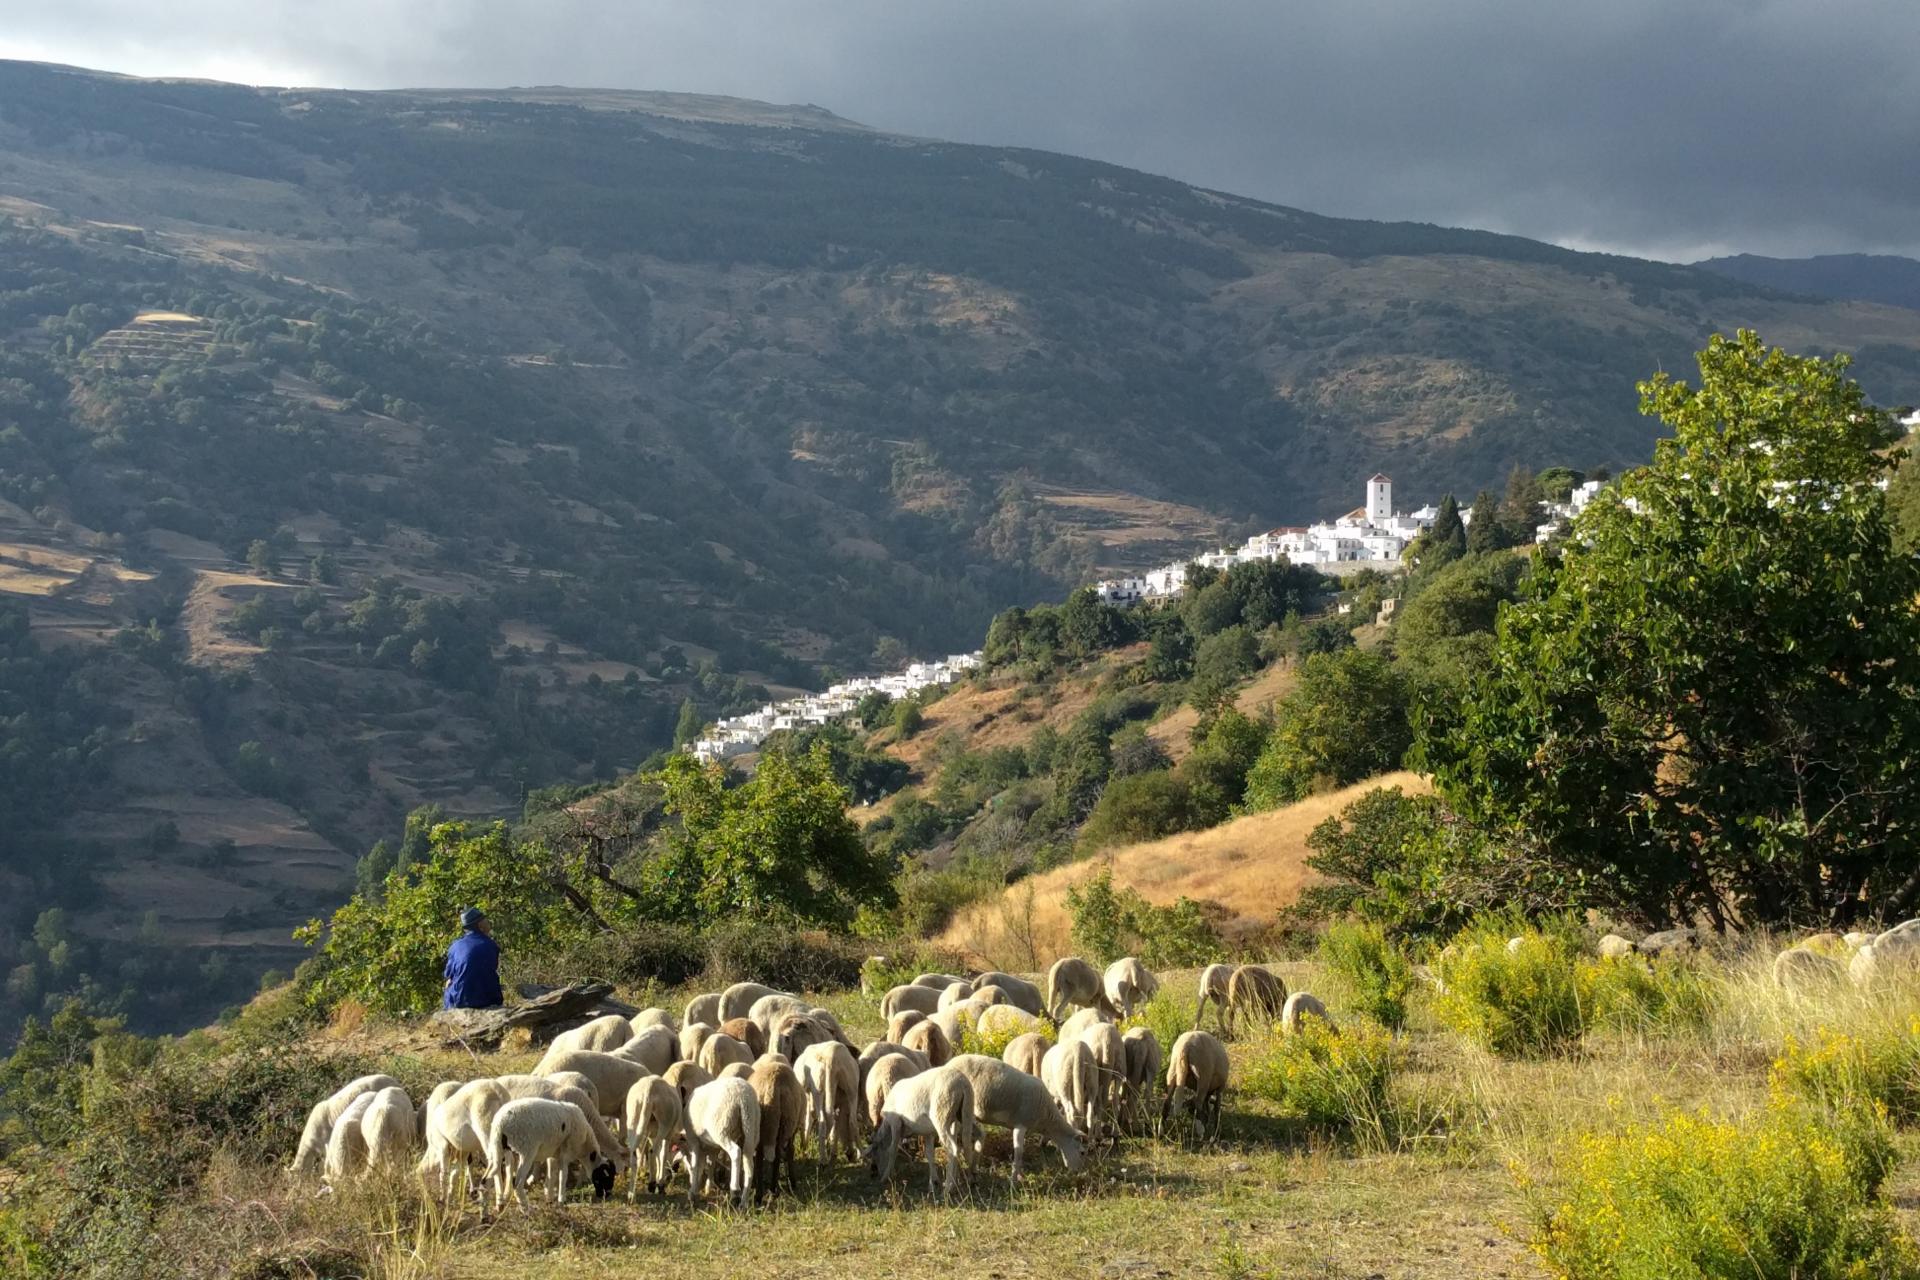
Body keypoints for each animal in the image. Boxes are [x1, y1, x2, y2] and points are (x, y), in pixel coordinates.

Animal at [683, 1074, 756, 1205]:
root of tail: (742, 1096)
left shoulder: (693, 1139)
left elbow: (696, 1164)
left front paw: (693, 1192)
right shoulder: (712, 1146)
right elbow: (709, 1164)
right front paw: (707, 1187)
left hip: (721, 1127)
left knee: (736, 1152)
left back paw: (735, 1189)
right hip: (751, 1126)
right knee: (749, 1161)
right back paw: (744, 1201)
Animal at [741, 1059, 802, 1197]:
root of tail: (774, 1085)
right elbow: (790, 1151)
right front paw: (792, 1182)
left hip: (761, 1125)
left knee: (761, 1158)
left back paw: (760, 1194)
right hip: (786, 1122)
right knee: (779, 1154)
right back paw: (775, 1188)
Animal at [867, 1059, 975, 1205]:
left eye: (876, 1153)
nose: (874, 1172)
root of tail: (962, 1083)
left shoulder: (895, 1123)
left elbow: (892, 1150)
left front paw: (885, 1177)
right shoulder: (927, 1132)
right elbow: (929, 1154)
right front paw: (933, 1182)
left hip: (942, 1114)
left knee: (953, 1149)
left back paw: (948, 1188)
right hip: (961, 1115)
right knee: (965, 1145)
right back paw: (963, 1181)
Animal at [940, 1051, 1082, 1182]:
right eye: (1082, 1152)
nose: (1078, 1172)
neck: (1046, 1118)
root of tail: (948, 1063)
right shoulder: (1020, 1125)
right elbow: (1019, 1153)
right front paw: (1014, 1180)